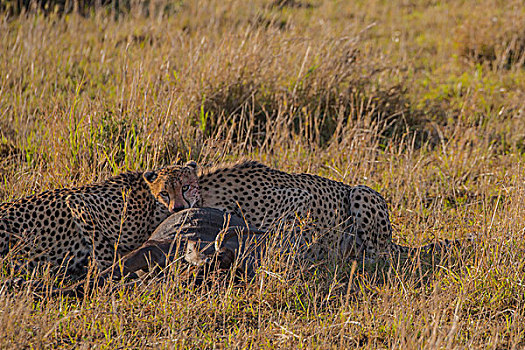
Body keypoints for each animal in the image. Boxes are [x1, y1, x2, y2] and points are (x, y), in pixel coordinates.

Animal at [0, 162, 201, 278]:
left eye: (185, 187)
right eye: (164, 193)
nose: (178, 208)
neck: (152, 204)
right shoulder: (79, 201)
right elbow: (103, 250)